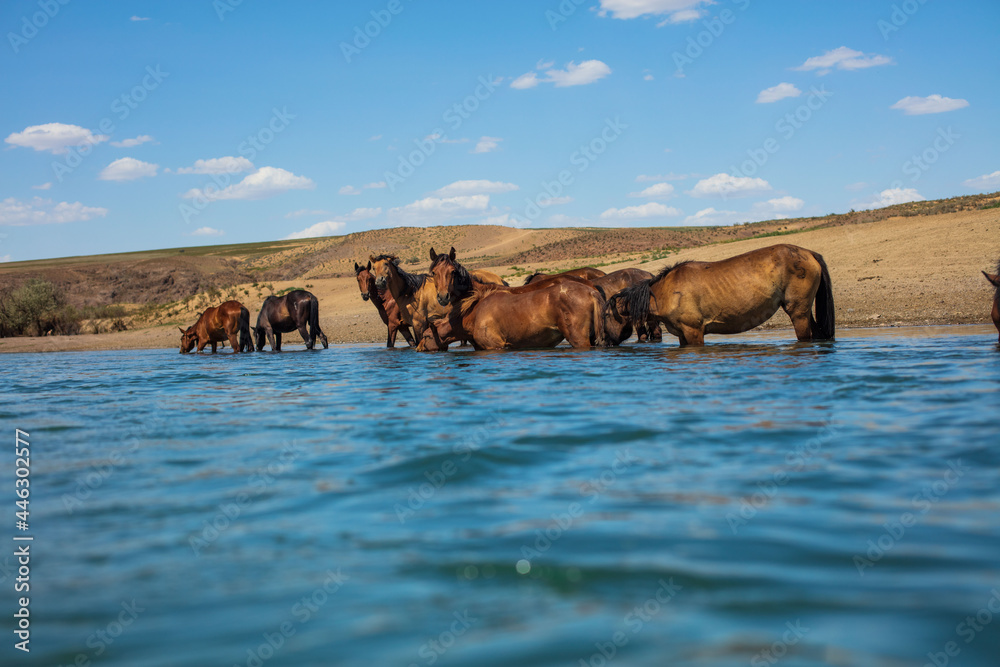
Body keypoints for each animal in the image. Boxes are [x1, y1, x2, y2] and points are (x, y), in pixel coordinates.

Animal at [603, 244, 834, 347]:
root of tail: (808, 253)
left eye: (605, 316)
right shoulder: (681, 335)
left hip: (798, 313)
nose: (607, 341)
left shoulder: (694, 332)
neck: (665, 292)